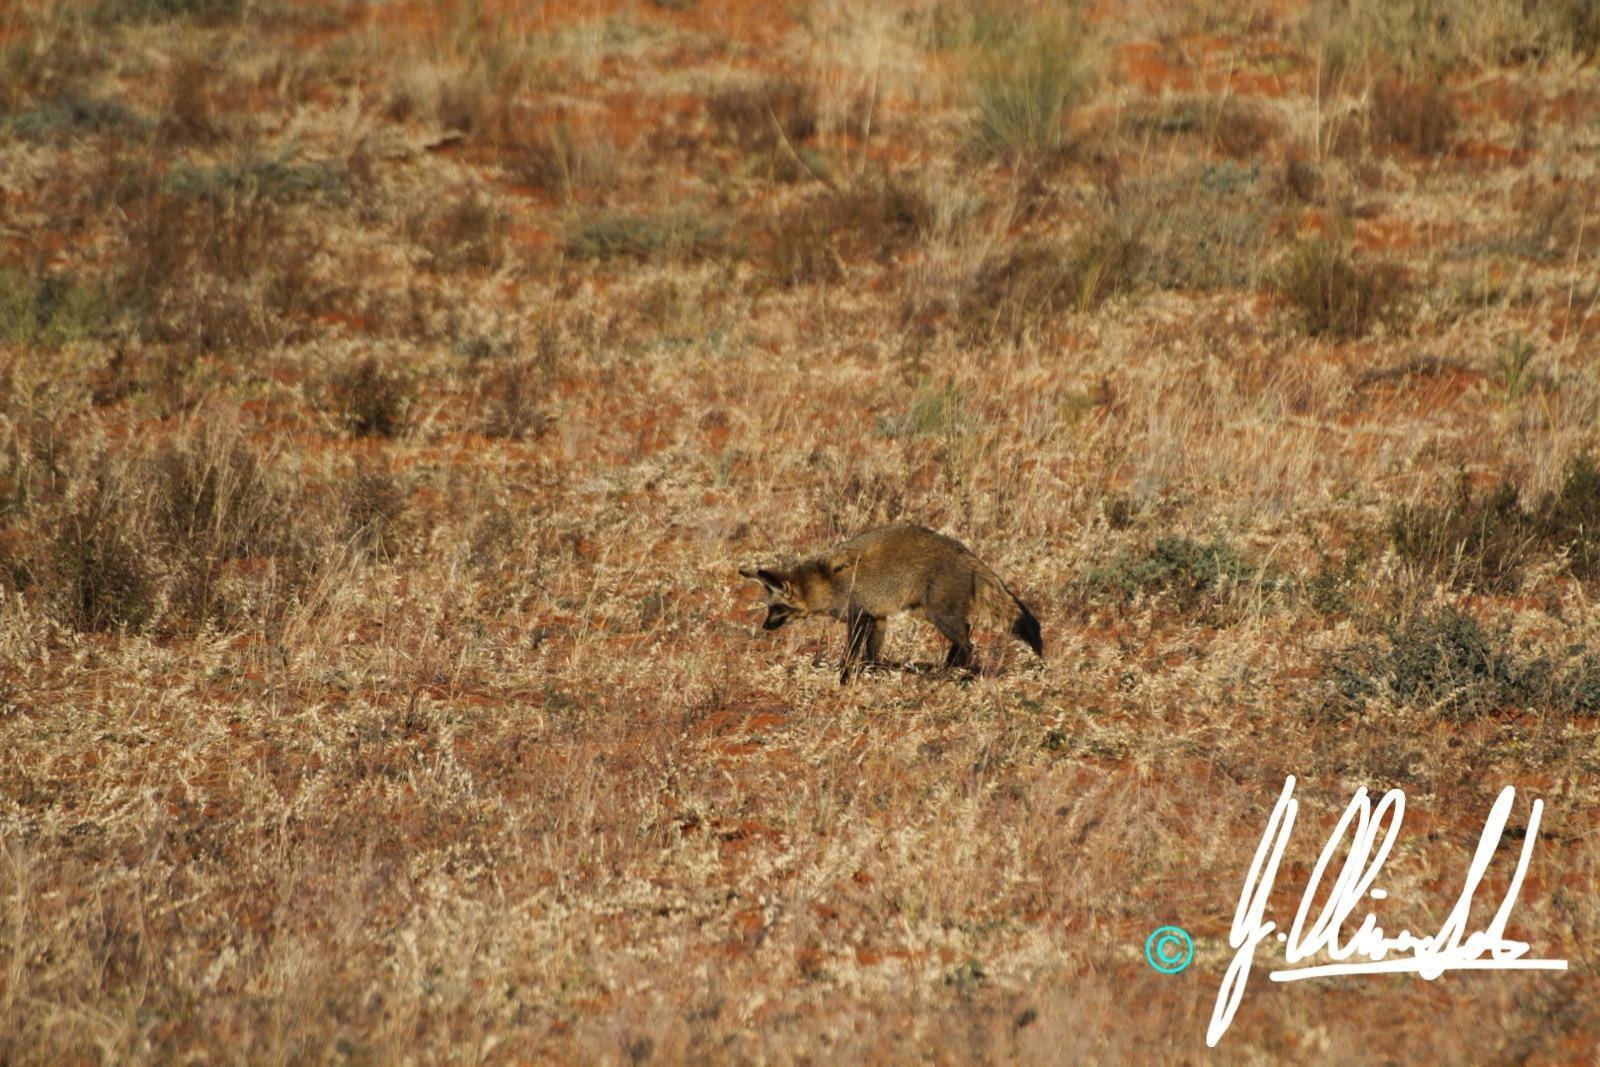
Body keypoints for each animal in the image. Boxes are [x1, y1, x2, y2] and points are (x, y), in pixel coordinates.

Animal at [732, 524, 1036, 684]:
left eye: (777, 609)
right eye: (769, 609)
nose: (765, 627)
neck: (824, 580)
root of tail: (966, 553)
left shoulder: (858, 616)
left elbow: (850, 653)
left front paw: (843, 678)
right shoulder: (877, 618)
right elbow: (871, 654)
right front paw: (872, 673)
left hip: (938, 615)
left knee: (968, 644)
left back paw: (960, 675)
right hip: (939, 614)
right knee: (967, 635)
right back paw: (949, 667)